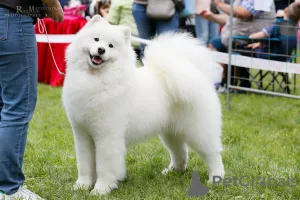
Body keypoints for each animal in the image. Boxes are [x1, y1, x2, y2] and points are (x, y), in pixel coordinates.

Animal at [62, 15, 224, 195]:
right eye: (96, 39)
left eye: (111, 46)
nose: (101, 50)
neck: (97, 80)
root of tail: (195, 71)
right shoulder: (82, 134)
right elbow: (84, 165)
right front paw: (81, 186)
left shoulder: (107, 136)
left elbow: (105, 166)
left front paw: (101, 190)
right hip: (171, 131)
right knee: (180, 152)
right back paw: (172, 171)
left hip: (197, 130)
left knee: (212, 154)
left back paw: (215, 180)